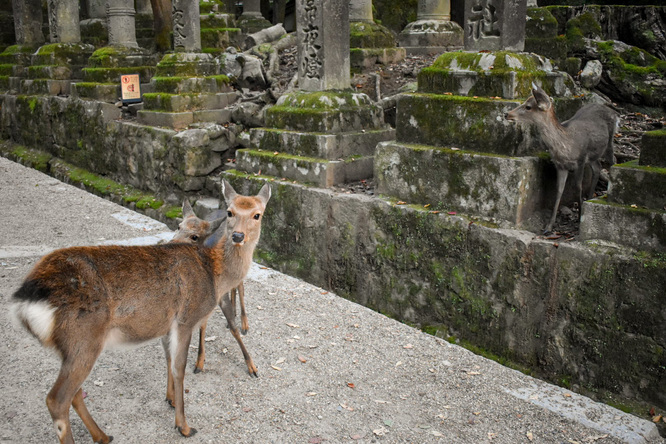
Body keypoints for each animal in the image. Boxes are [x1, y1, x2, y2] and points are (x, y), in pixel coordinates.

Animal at [171, 198, 252, 374]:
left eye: (195, 236)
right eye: (179, 226)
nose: (171, 243)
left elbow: (234, 329)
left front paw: (252, 366)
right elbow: (202, 324)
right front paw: (199, 363)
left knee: (241, 287)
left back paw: (244, 323)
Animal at [504, 84, 616, 234]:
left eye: (528, 106)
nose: (507, 114)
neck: (566, 146)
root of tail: (614, 112)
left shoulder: (580, 160)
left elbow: (578, 187)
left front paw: (579, 217)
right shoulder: (560, 165)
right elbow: (558, 191)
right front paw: (548, 226)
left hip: (609, 142)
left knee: (613, 161)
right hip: (593, 155)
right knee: (597, 166)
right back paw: (590, 197)